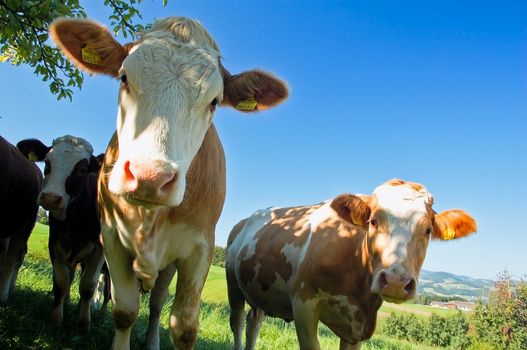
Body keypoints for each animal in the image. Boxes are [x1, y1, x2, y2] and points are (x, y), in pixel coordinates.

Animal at [16, 135, 108, 332]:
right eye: (47, 163)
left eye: (82, 170)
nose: (51, 198)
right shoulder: (55, 244)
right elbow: (61, 283)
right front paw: (57, 319)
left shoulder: (99, 250)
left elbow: (88, 286)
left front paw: (84, 323)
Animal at [49, 15, 288, 348]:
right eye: (124, 78)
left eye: (215, 101)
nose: (150, 176)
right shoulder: (111, 239)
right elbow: (124, 311)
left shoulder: (199, 248)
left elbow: (183, 326)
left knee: (158, 301)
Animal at [227, 179, 478, 348]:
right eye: (373, 221)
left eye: (427, 230)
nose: (396, 281)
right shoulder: (304, 304)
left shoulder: (357, 329)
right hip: (233, 283)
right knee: (237, 321)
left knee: (254, 322)